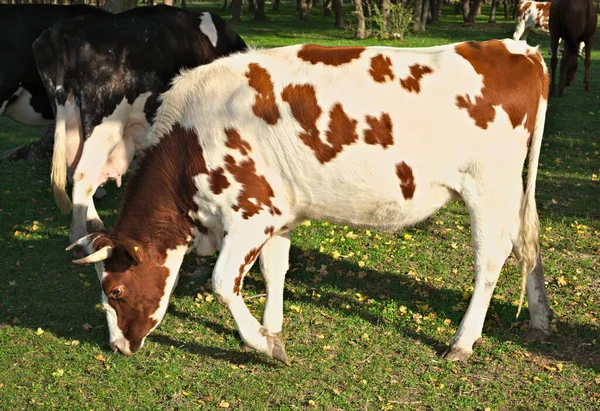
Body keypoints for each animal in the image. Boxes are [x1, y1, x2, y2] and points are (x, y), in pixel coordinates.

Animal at [33, 4, 246, 245]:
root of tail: (66, 26)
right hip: (103, 125)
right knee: (83, 175)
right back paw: (78, 235)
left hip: (70, 119)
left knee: (74, 168)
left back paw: (94, 222)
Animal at [70, 39, 552, 364]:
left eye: (114, 291)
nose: (117, 346)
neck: (193, 134)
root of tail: (516, 49)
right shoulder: (279, 215)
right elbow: (274, 269)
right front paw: (272, 327)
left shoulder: (252, 212)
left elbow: (223, 283)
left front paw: (263, 344)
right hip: (508, 190)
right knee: (527, 244)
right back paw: (540, 319)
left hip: (487, 187)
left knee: (491, 257)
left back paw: (463, 341)